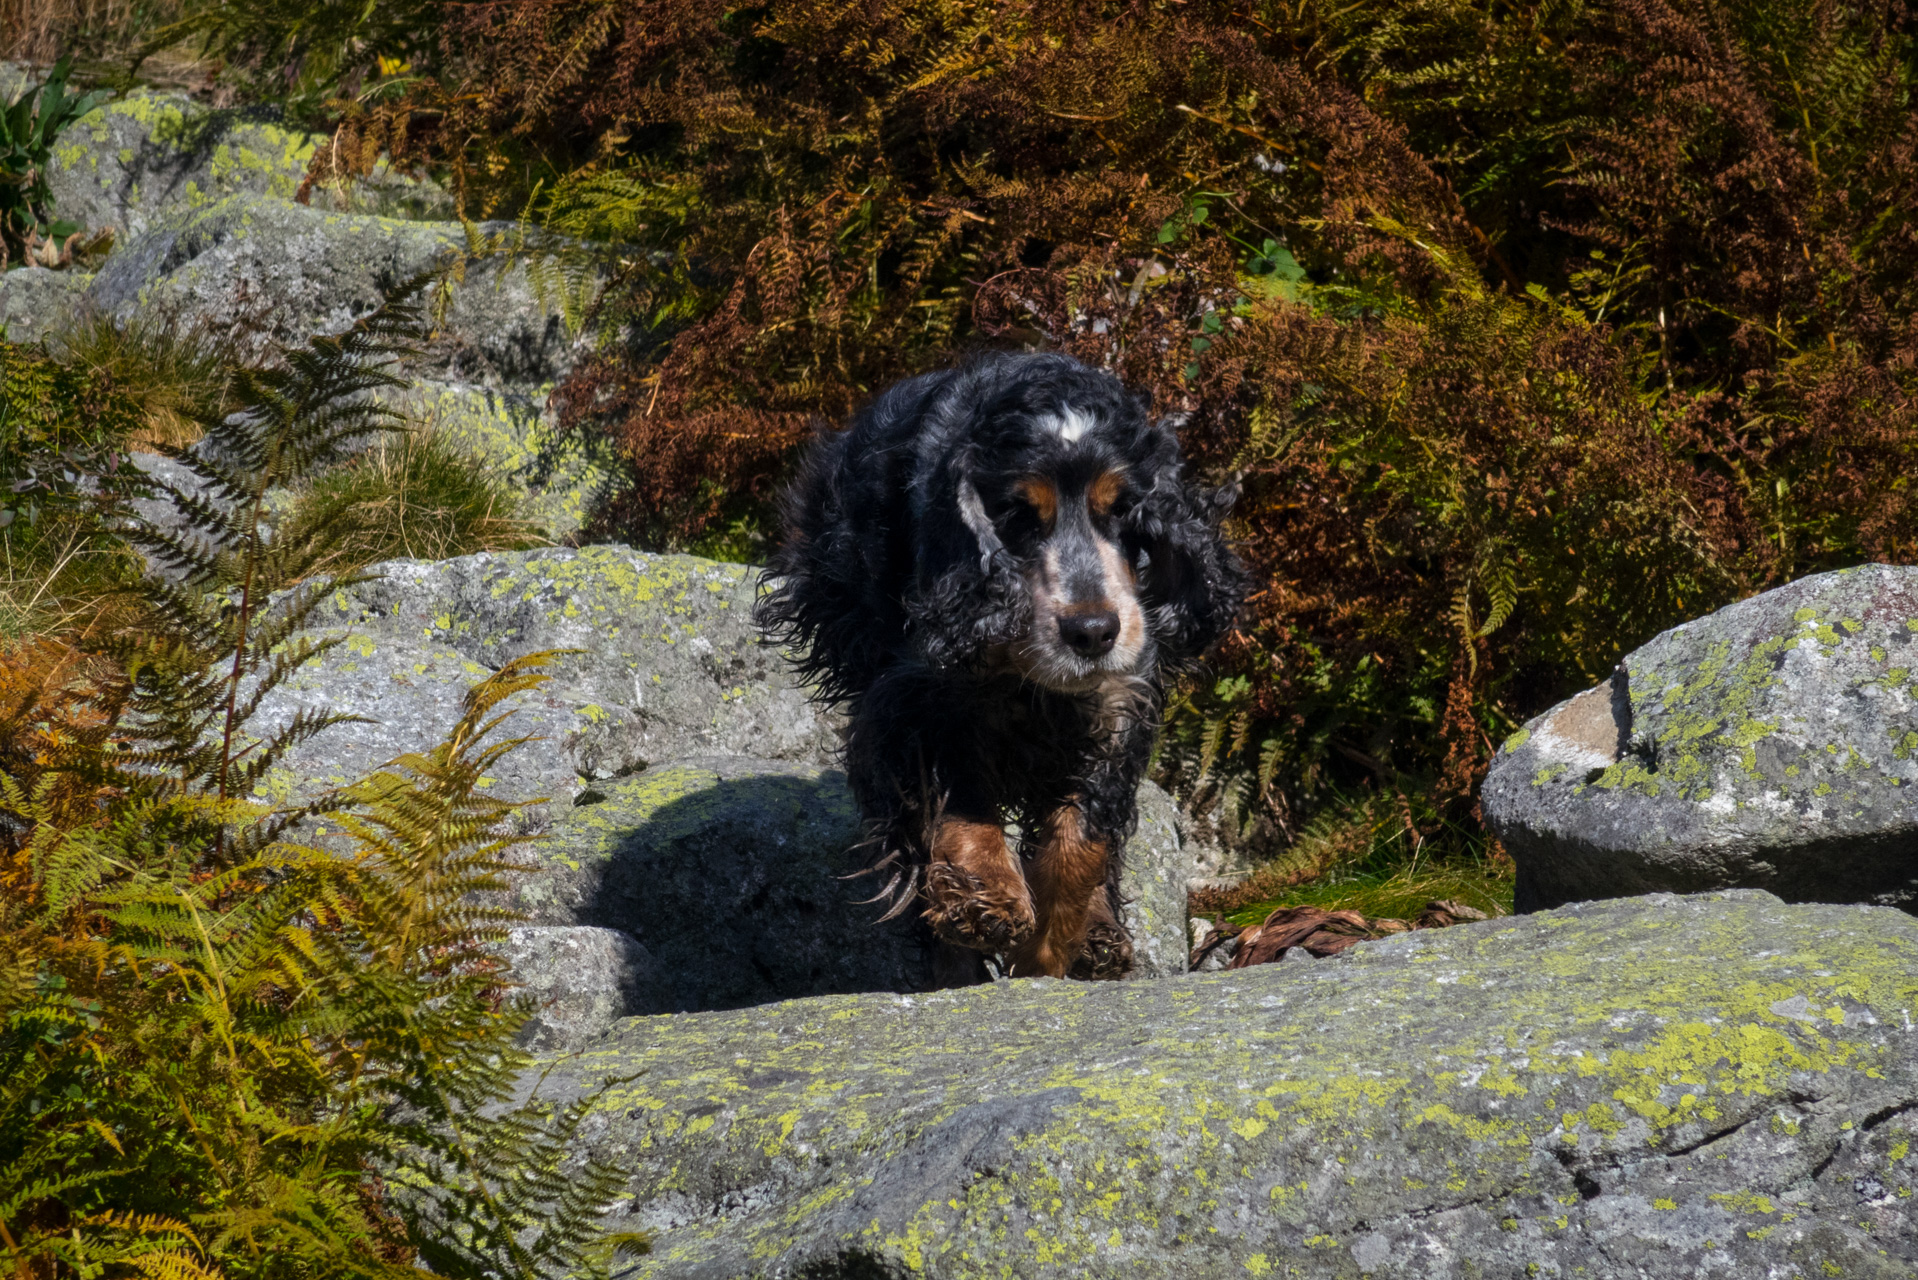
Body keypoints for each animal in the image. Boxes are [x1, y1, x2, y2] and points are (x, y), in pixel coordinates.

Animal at [755, 351, 1250, 982]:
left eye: (1126, 511)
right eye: (1017, 515)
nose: (1093, 632)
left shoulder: (1121, 700)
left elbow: (1081, 839)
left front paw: (1047, 948)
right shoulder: (924, 698)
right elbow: (961, 798)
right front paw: (984, 898)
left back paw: (1098, 934)